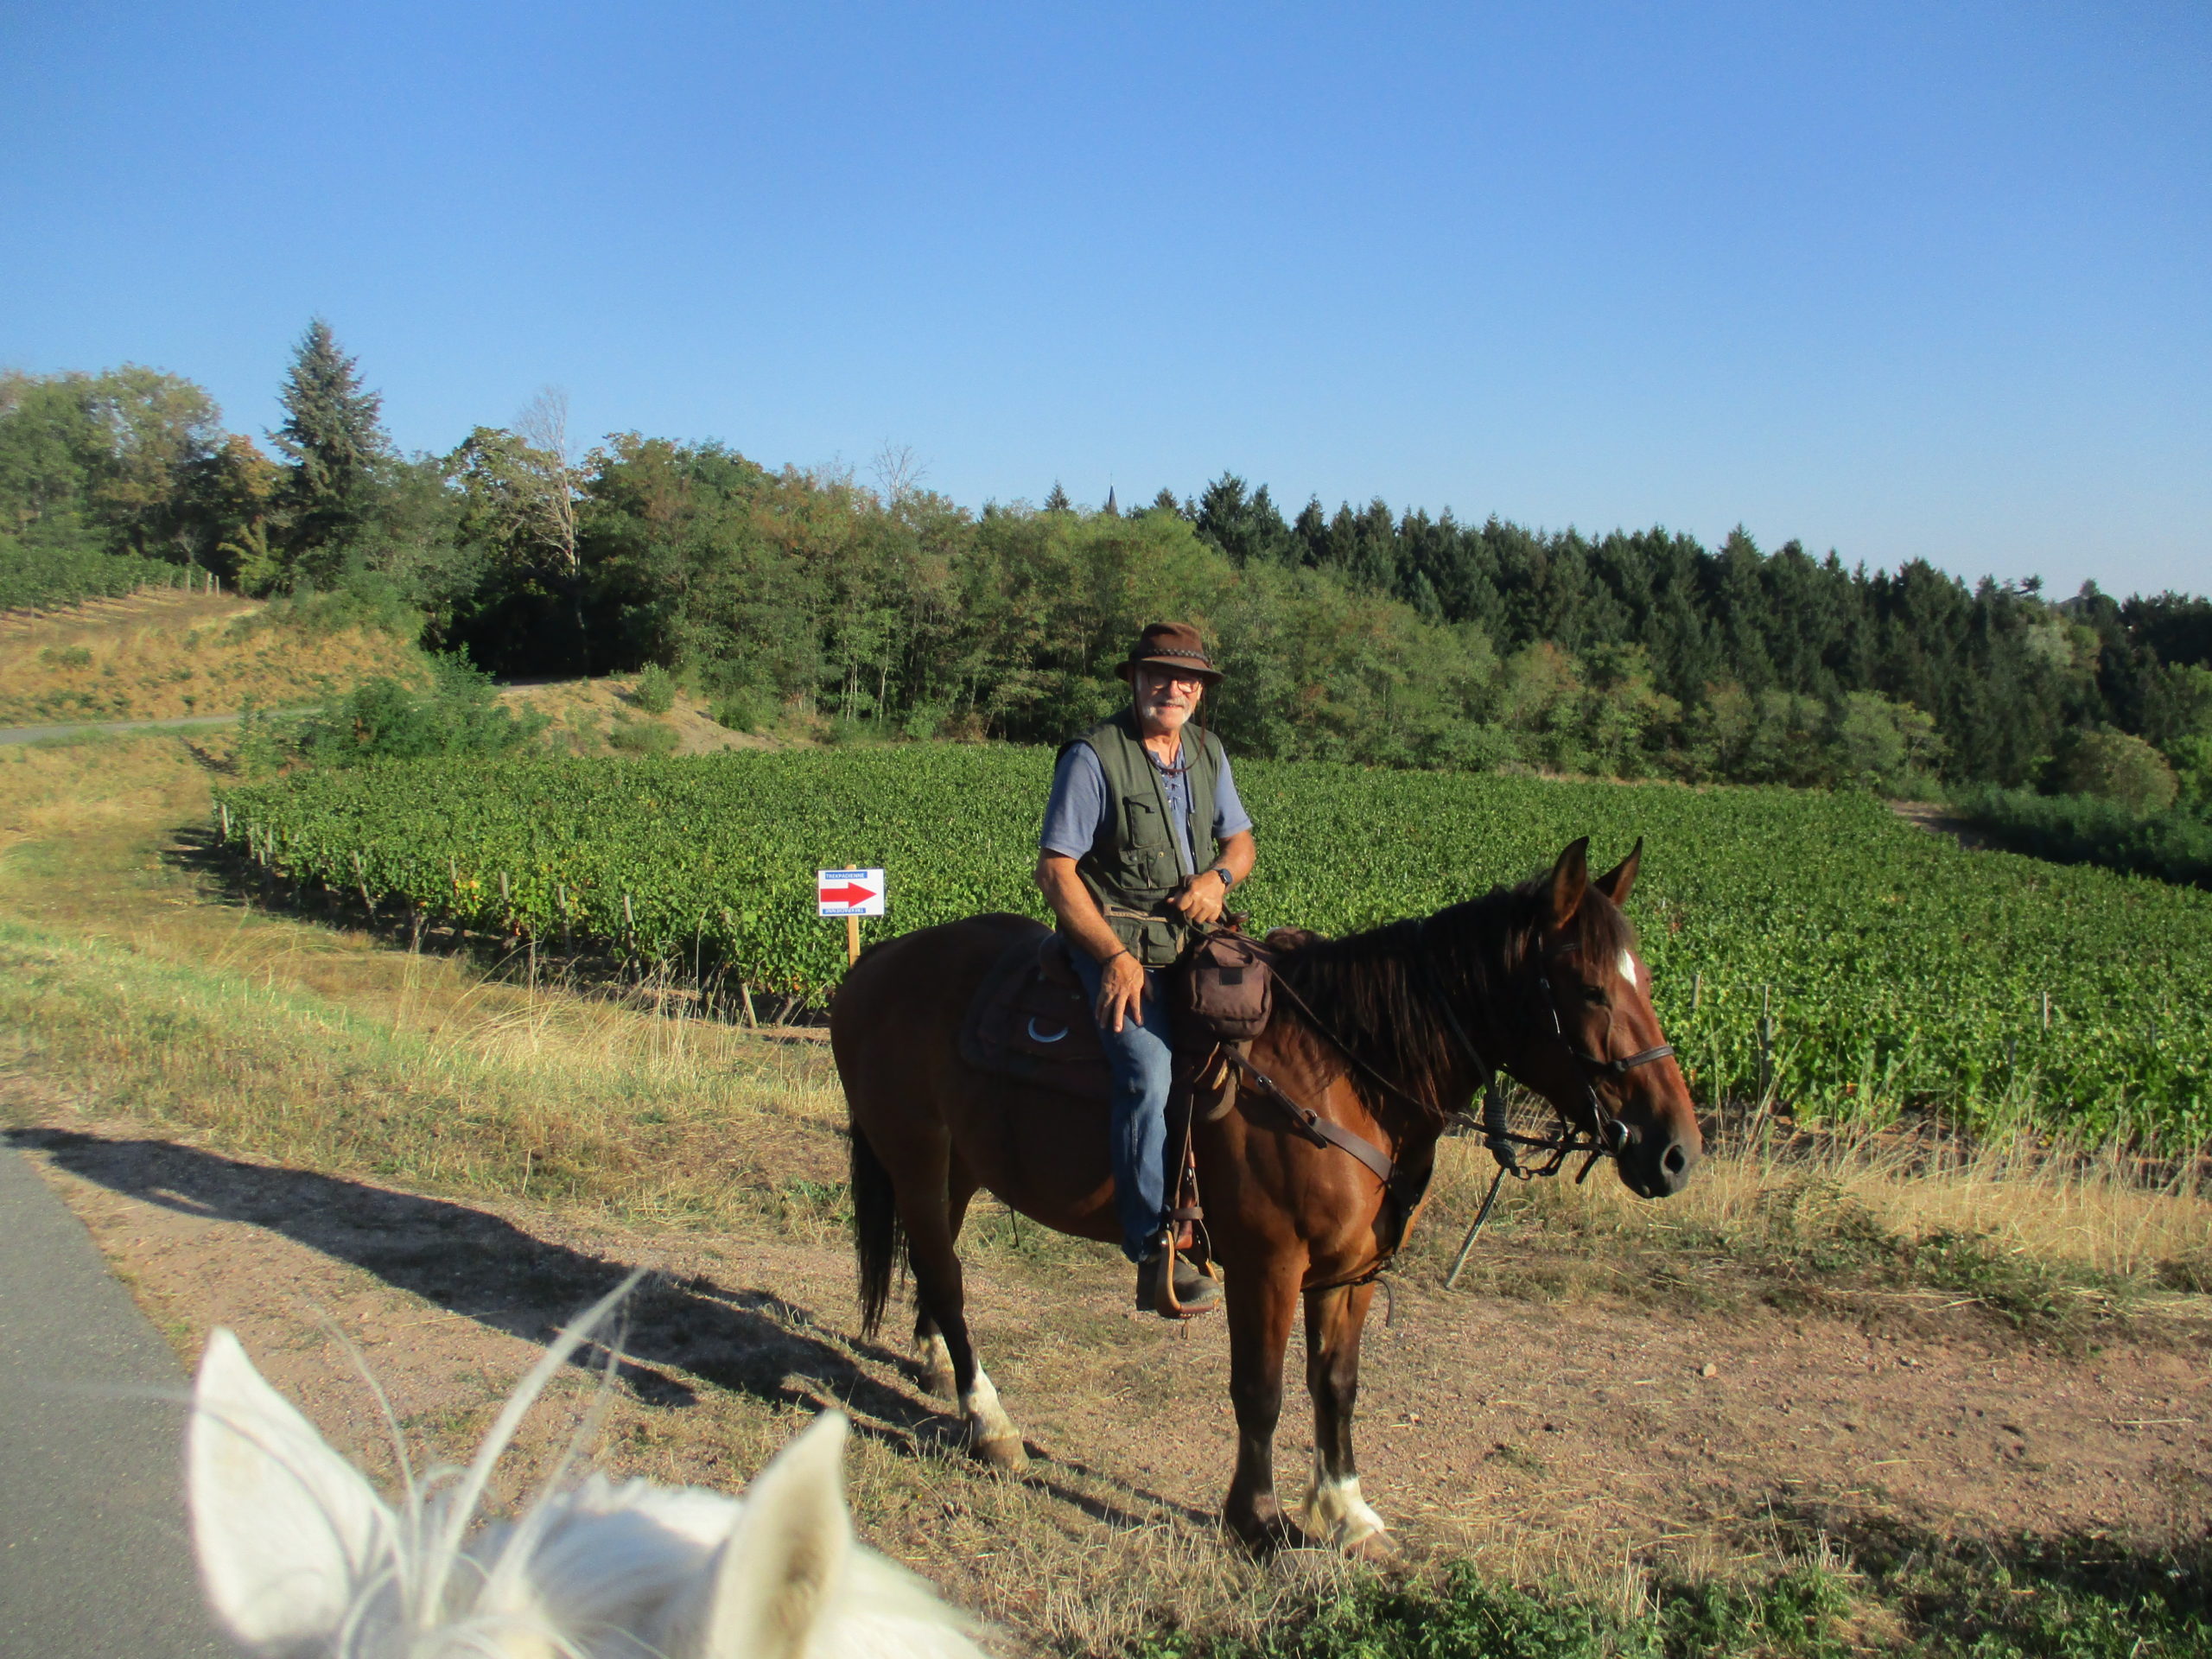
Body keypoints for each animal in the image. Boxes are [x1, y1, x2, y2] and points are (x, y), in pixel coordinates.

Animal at [823, 844, 1699, 1557]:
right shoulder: (1267, 1265)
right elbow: (1262, 1390)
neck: (1345, 1071)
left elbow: (1336, 1386)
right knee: (946, 1279)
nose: (1676, 1153)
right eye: (1589, 989)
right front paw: (1258, 1521)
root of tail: (876, 964)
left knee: (934, 1266)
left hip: (955, 1169)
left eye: (1650, 981)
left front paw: (1346, 1512)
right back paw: (990, 1423)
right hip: (915, 1155)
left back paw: (938, 1366)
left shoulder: (1352, 1272)